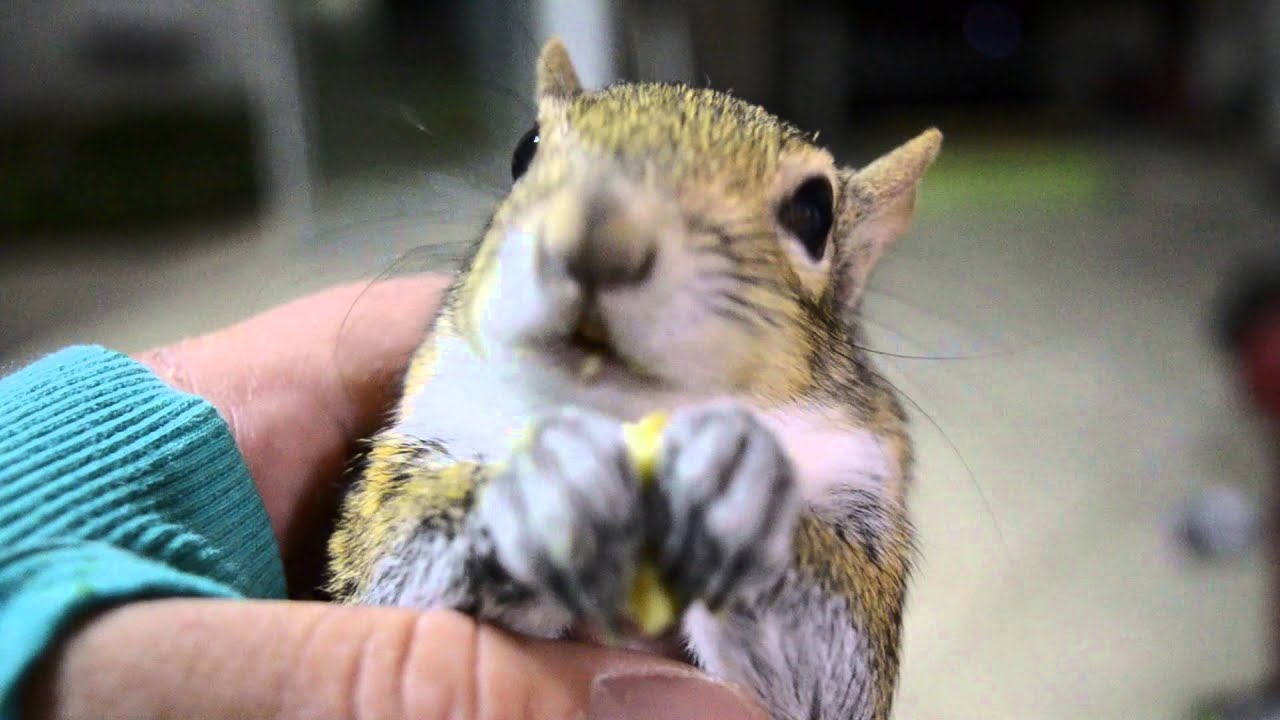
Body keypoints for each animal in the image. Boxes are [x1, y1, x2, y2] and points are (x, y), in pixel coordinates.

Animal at [327, 37, 942, 720]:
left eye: (815, 212)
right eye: (525, 149)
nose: (599, 235)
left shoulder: (865, 471)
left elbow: (834, 670)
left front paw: (740, 483)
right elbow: (386, 566)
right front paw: (537, 485)